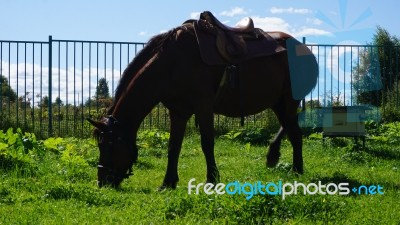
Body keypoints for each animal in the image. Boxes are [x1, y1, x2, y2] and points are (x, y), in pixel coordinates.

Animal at [88, 13, 318, 188]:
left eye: (109, 145)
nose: (103, 182)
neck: (172, 63)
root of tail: (304, 49)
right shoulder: (178, 112)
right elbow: (173, 146)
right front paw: (168, 183)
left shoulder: (203, 107)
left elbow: (207, 143)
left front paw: (212, 180)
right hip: (278, 103)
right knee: (288, 128)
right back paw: (274, 156)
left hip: (288, 101)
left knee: (295, 133)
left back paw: (296, 170)